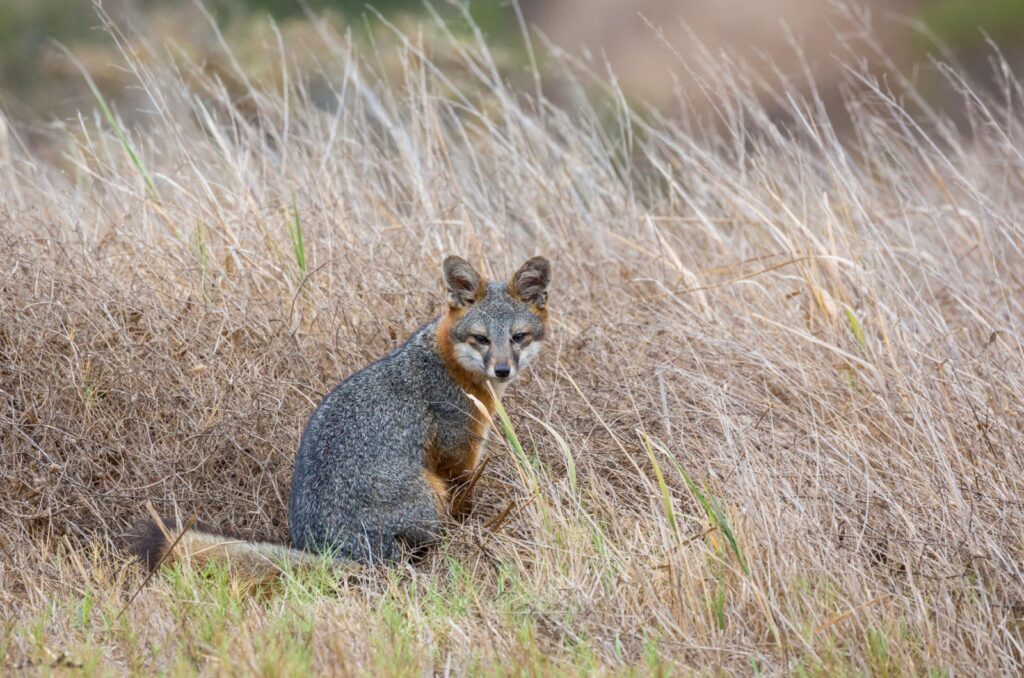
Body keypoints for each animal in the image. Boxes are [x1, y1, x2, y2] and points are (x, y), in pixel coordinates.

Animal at [136, 251, 557, 581]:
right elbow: (465, 505)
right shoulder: (457, 458)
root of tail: (329, 550)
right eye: (481, 339)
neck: (450, 366)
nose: (502, 370)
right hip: (429, 491)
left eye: (518, 337)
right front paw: (475, 534)